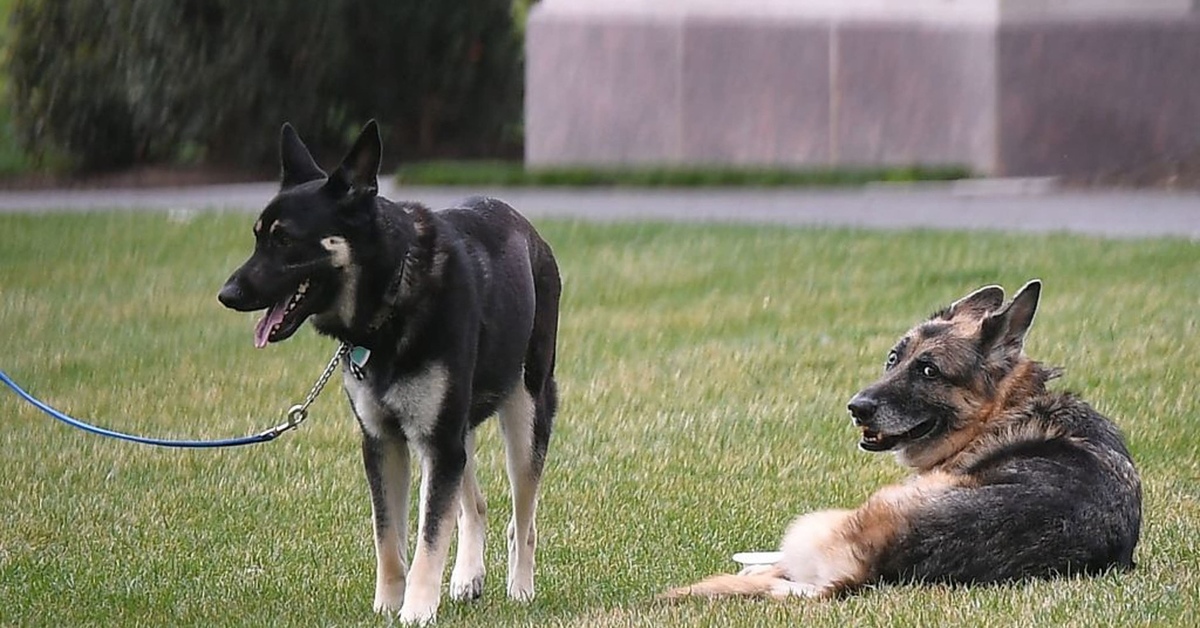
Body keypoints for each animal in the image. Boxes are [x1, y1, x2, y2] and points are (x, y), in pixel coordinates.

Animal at [217, 121, 561, 624]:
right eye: (257, 236)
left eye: (284, 240)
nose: (227, 294)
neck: (393, 293)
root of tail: (528, 229)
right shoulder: (386, 443)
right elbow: (389, 537)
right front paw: (387, 604)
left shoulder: (436, 443)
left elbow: (428, 538)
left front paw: (416, 610)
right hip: (456, 431)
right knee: (475, 505)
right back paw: (468, 576)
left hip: (524, 413)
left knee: (524, 519)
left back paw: (520, 587)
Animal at [667, 279, 1142, 600]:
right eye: (893, 359)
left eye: (929, 371)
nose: (856, 408)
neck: (1005, 408)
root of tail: (867, 570)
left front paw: (749, 563)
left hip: (836, 516)